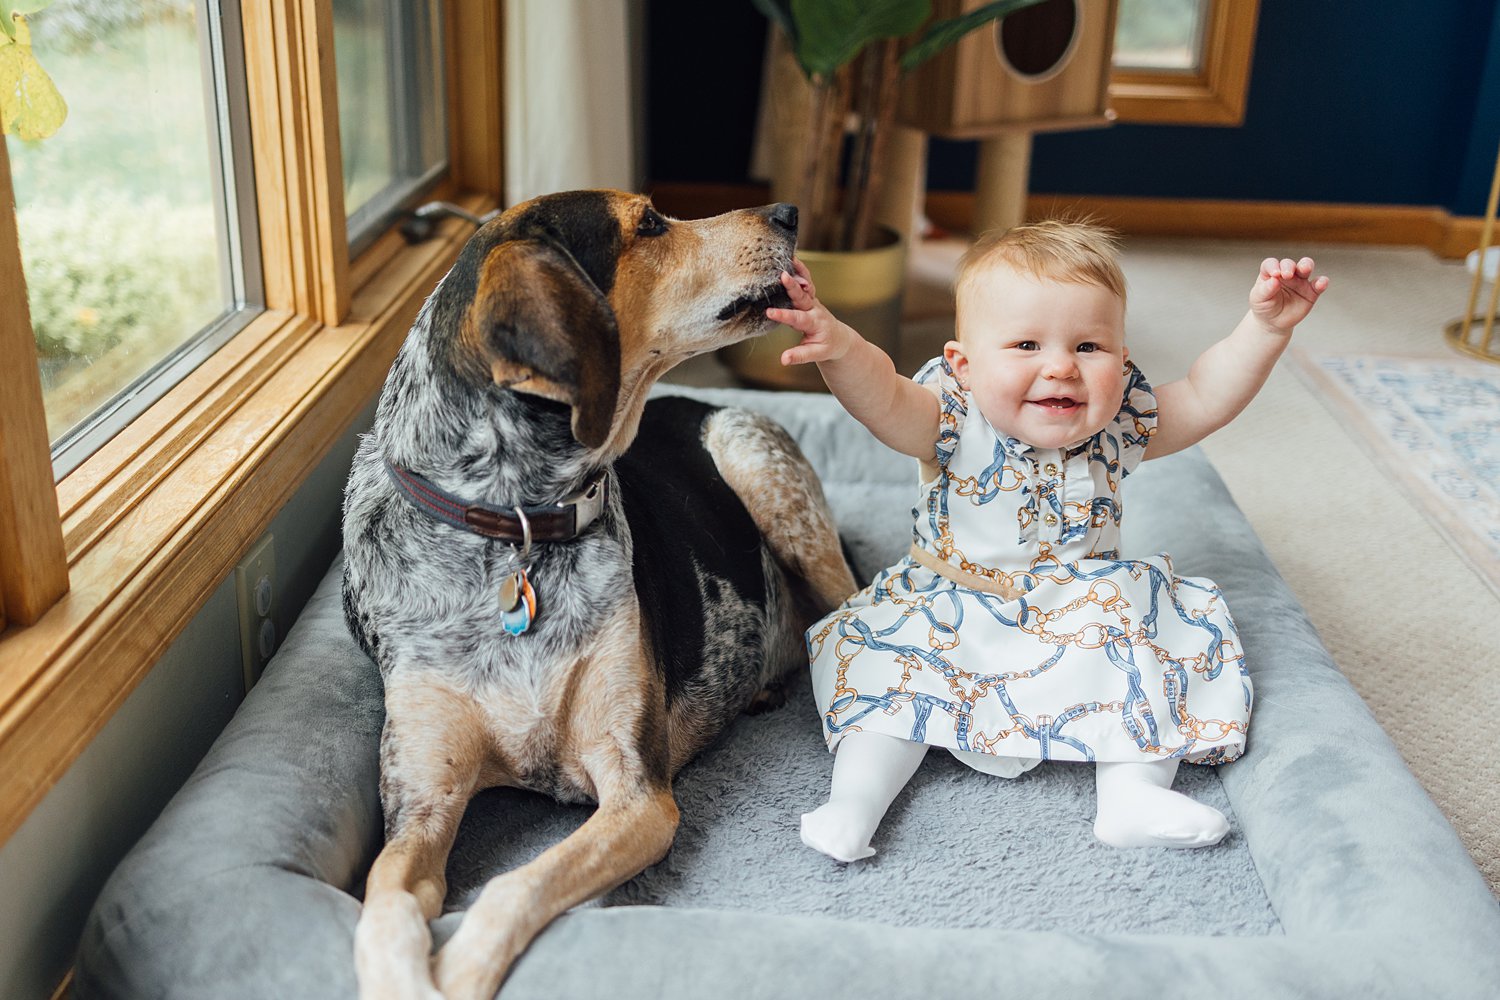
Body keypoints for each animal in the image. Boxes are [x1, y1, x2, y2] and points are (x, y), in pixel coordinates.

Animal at [340, 189, 858, 1000]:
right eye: (648, 224)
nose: (787, 211)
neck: (513, 528)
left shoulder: (636, 791)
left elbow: (514, 886)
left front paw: (459, 970)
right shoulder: (420, 801)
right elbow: (384, 905)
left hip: (764, 472)